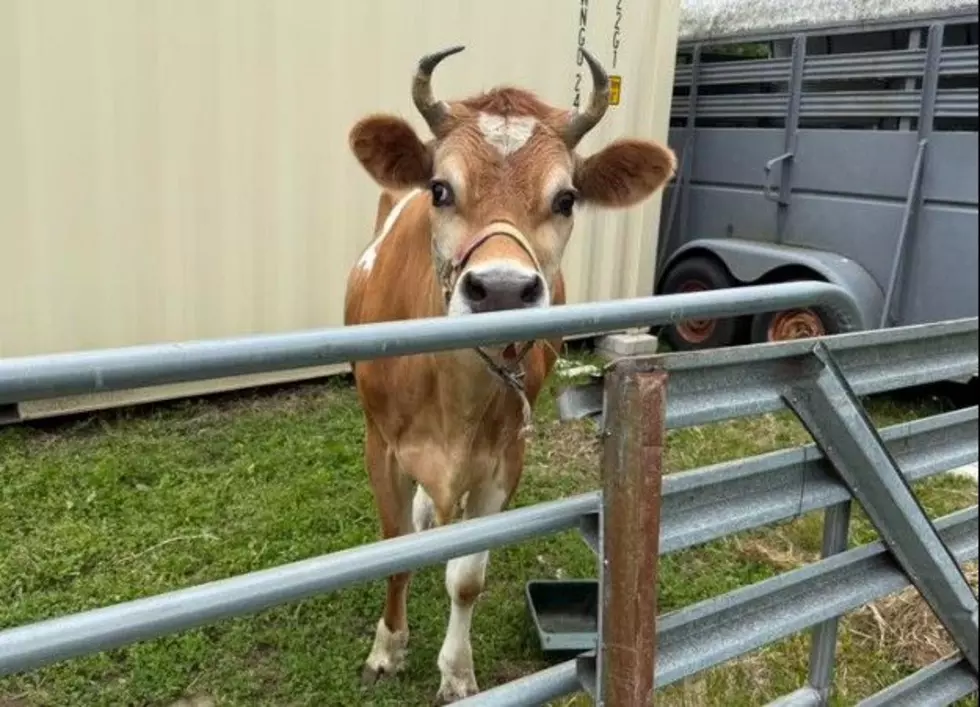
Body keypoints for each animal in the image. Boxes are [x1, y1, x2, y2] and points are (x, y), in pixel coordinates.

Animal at [344, 45, 676, 703]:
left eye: (567, 198)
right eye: (440, 189)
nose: (500, 289)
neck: (453, 396)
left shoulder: (504, 461)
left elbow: (467, 577)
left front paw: (457, 672)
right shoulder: (381, 446)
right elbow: (393, 549)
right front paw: (387, 648)